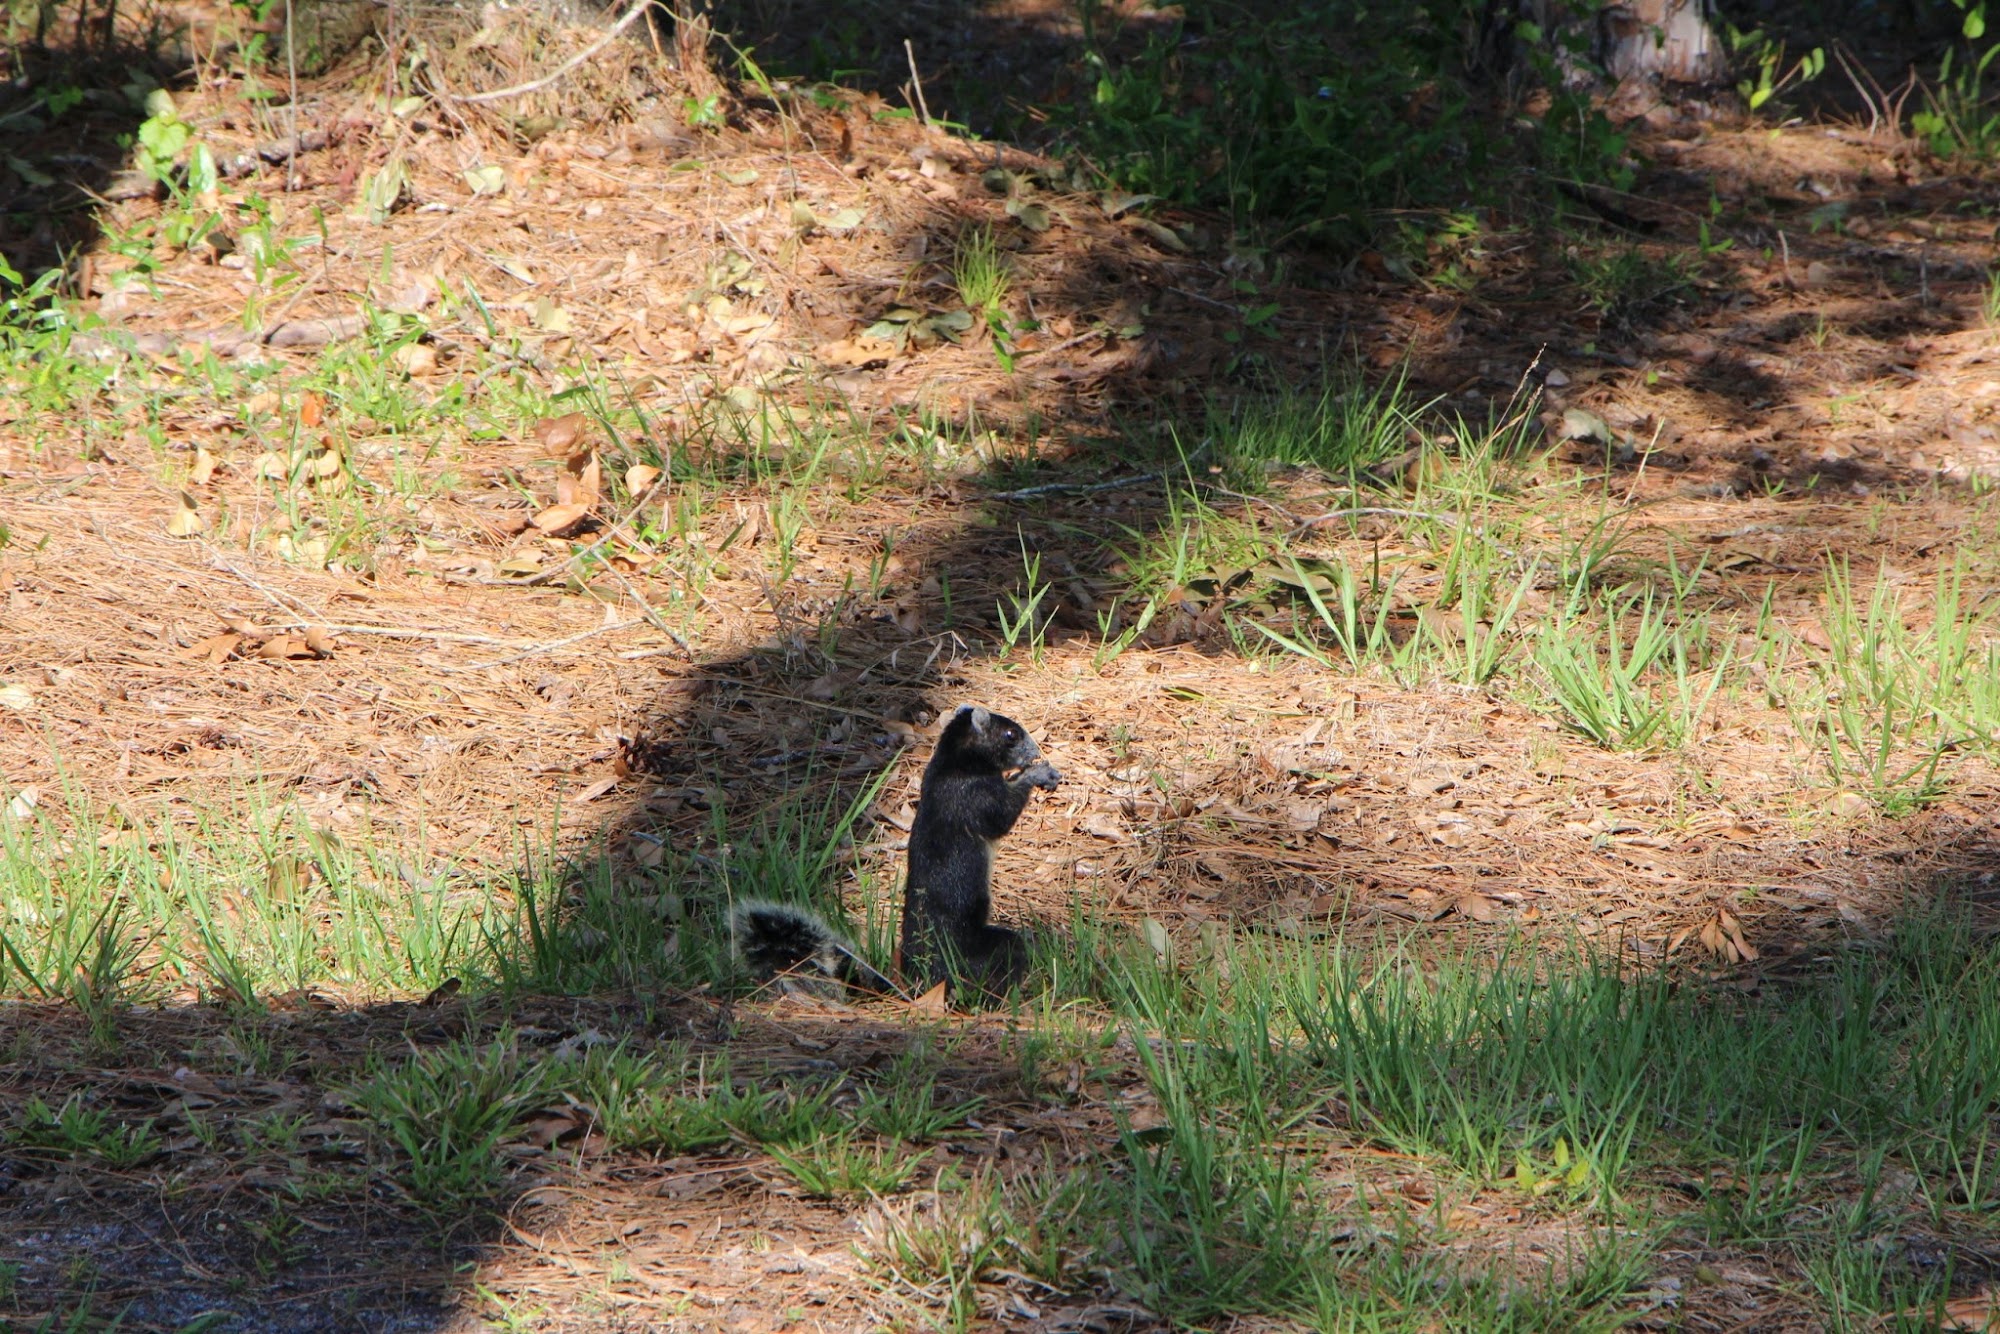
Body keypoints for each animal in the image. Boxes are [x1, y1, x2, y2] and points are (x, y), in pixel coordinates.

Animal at [729, 705, 1059, 1000]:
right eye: (1010, 734)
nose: (1035, 751)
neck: (954, 763)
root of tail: (916, 982)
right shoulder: (971, 796)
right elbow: (1000, 817)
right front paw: (1035, 773)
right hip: (973, 951)